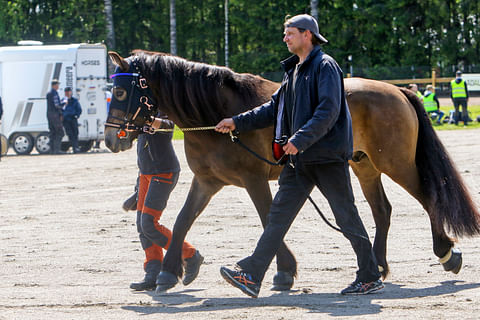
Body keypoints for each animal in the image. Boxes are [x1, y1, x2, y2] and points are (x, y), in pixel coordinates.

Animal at [105, 50, 480, 292]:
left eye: (121, 90)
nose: (110, 138)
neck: (215, 117)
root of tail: (397, 90)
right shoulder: (207, 181)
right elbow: (184, 219)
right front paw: (169, 273)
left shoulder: (254, 180)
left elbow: (269, 218)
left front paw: (282, 271)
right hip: (365, 166)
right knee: (382, 211)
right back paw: (378, 265)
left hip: (396, 163)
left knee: (429, 198)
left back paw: (446, 253)